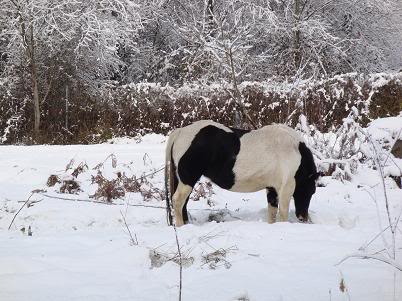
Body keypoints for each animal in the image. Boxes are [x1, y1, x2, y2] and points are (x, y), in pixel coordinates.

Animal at [164, 119, 320, 225]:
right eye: (310, 191)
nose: (303, 218)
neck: (296, 151)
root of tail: (180, 132)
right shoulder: (286, 188)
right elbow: (283, 212)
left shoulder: (272, 188)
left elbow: (272, 211)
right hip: (188, 179)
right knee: (178, 201)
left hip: (182, 180)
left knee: (182, 203)